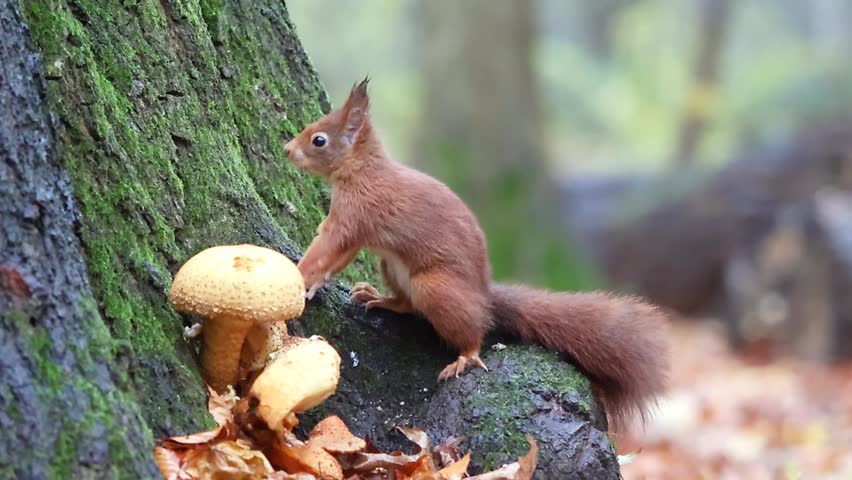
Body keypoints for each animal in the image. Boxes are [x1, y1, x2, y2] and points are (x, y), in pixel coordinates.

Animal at [285, 78, 669, 431]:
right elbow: (336, 259)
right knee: (408, 304)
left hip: (436, 288)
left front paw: (300, 274)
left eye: (319, 139)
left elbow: (327, 248)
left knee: (472, 330)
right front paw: (313, 283)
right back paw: (380, 298)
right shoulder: (354, 230)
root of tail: (483, 294)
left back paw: (465, 357)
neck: (362, 170)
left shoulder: (354, 216)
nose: (287, 149)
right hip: (392, 267)